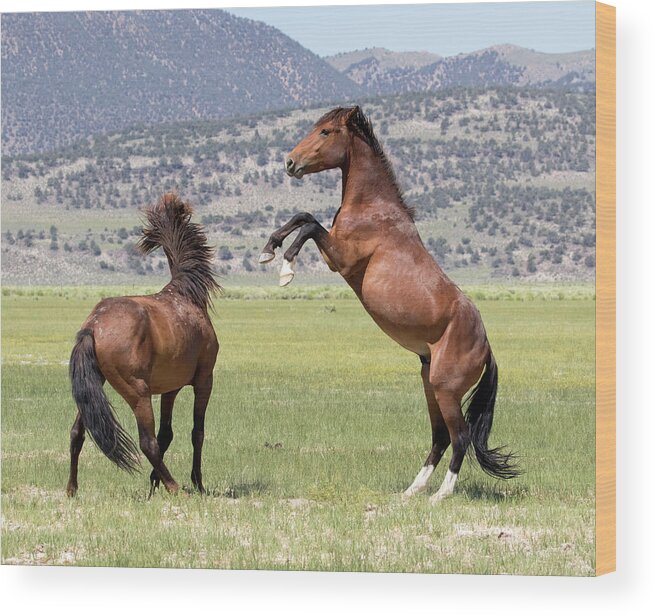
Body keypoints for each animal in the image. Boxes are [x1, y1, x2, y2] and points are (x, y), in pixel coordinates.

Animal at [67, 195, 220, 498]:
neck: (185, 296)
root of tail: (93, 325)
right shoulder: (203, 380)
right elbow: (196, 432)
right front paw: (198, 482)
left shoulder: (171, 388)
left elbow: (167, 433)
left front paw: (153, 482)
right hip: (138, 392)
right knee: (146, 441)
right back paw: (175, 486)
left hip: (93, 387)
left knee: (77, 433)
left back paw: (71, 489)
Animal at [258, 106, 520, 500]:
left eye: (325, 132)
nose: (290, 162)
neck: (373, 208)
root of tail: (486, 348)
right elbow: (303, 216)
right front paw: (267, 250)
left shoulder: (341, 258)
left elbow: (309, 226)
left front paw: (285, 269)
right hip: (429, 383)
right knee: (440, 437)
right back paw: (411, 491)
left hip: (445, 389)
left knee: (459, 437)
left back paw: (440, 495)